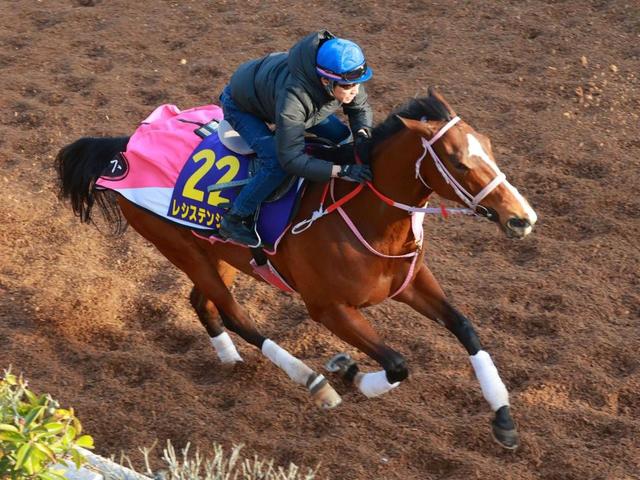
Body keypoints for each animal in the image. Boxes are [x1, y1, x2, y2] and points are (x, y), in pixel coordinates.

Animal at [56, 87, 536, 450]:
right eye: (458, 162)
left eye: (489, 147)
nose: (521, 218)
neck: (364, 215)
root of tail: (125, 149)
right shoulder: (328, 309)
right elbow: (398, 364)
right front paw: (351, 375)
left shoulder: (411, 283)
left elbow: (465, 327)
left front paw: (503, 417)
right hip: (179, 246)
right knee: (235, 314)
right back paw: (313, 381)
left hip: (219, 253)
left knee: (202, 303)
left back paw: (231, 360)